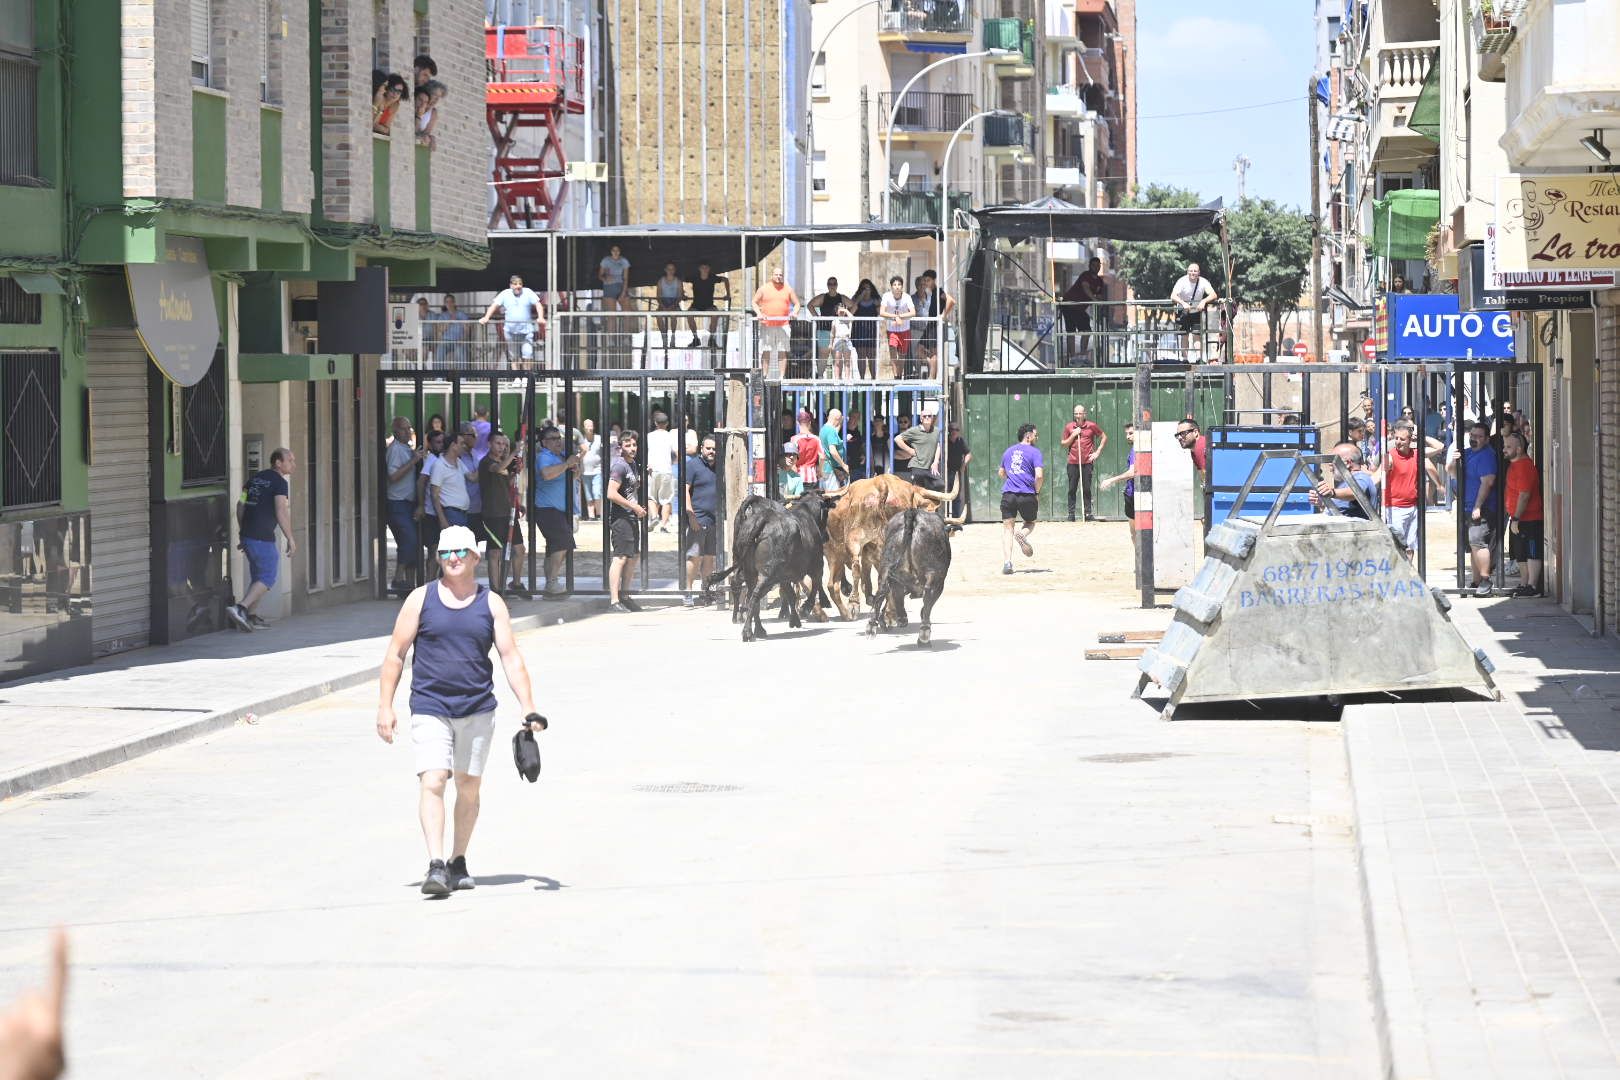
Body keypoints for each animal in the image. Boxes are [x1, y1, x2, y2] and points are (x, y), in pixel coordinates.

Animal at [706, 492, 835, 641]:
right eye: (826, 513)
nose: (827, 537)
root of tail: (763, 517)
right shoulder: (817, 565)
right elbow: (814, 587)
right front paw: (805, 609)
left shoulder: (785, 576)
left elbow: (791, 595)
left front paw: (794, 619)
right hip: (769, 573)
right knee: (754, 595)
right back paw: (748, 631)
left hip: (749, 570)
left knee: (747, 592)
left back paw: (756, 628)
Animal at [868, 508, 952, 647]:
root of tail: (913, 513)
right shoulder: (940, 583)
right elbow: (925, 606)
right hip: (934, 574)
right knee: (928, 594)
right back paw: (923, 634)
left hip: (886, 564)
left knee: (883, 590)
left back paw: (873, 626)